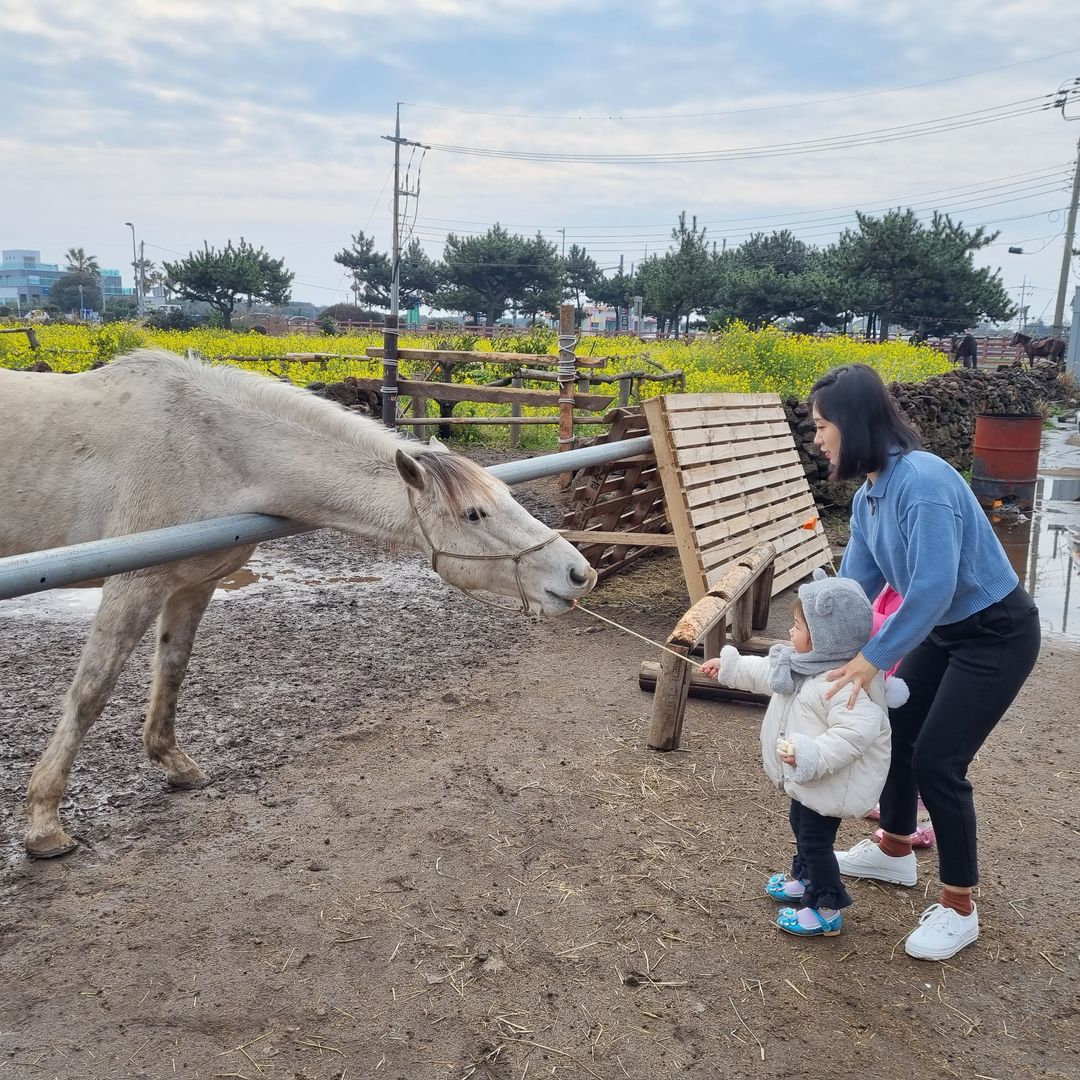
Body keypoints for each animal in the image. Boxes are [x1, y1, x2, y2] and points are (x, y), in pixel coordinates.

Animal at [0, 349, 600, 855]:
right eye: (475, 513)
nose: (579, 573)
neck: (202, 446)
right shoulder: (134, 582)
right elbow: (91, 692)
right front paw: (44, 822)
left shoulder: (193, 584)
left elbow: (172, 669)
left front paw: (174, 763)